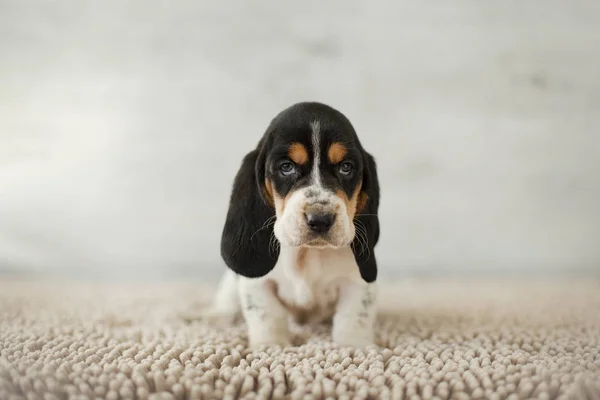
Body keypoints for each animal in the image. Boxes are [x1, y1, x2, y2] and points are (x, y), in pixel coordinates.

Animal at [210, 101, 380, 348]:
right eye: (286, 167)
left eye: (346, 167)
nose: (320, 219)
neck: (306, 253)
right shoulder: (256, 285)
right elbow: (267, 313)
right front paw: (271, 346)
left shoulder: (357, 281)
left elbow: (354, 316)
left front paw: (354, 347)